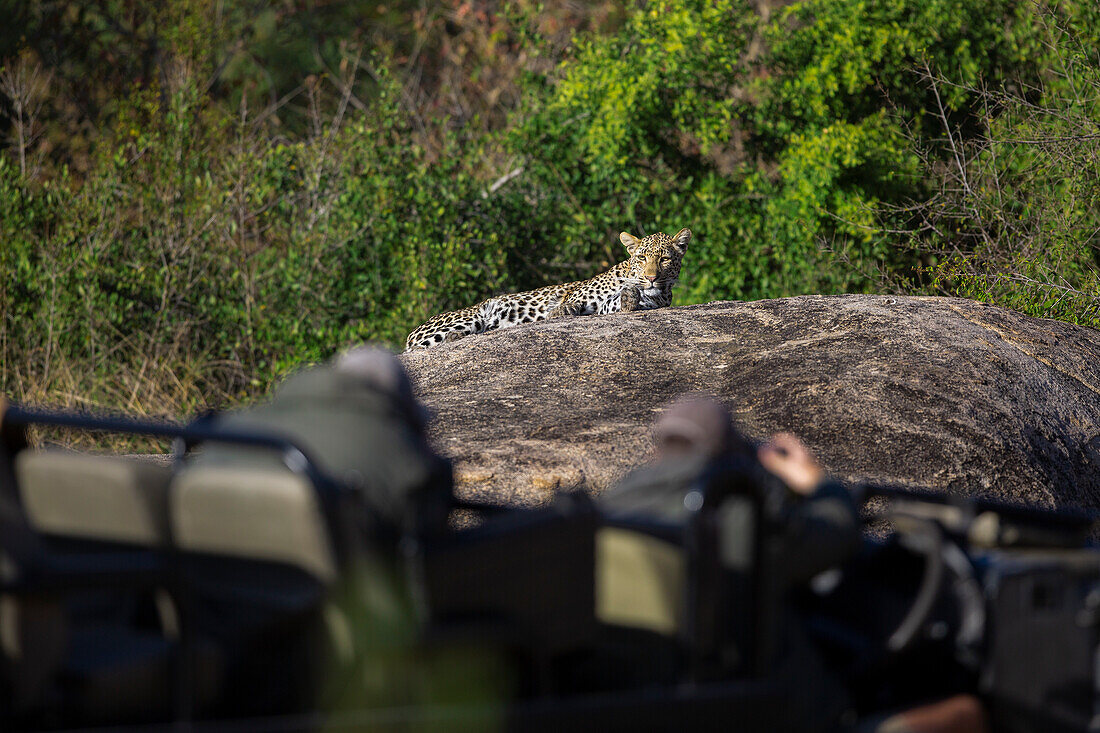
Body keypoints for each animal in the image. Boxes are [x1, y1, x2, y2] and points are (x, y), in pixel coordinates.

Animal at [404, 226, 690, 349]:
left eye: (664, 259)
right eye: (641, 258)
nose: (651, 278)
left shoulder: (613, 306)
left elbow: (621, 303)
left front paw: (630, 298)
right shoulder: (578, 294)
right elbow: (568, 303)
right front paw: (560, 312)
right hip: (470, 316)